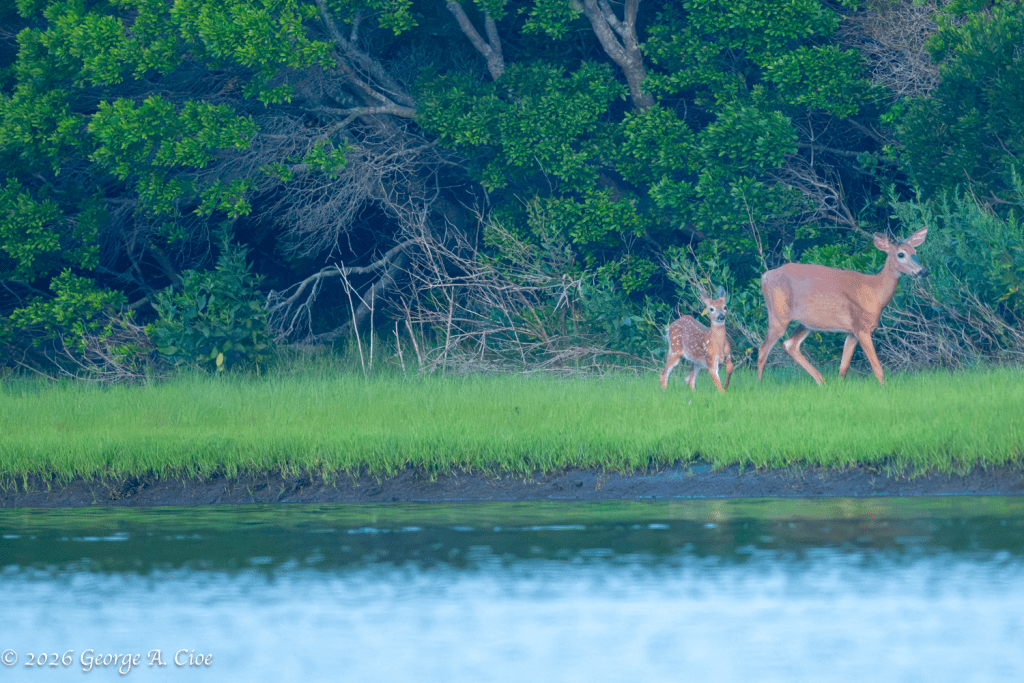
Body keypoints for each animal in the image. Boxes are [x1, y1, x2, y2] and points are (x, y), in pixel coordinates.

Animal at [756, 227, 929, 386]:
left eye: (915, 251)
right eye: (901, 254)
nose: (923, 271)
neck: (875, 292)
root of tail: (765, 276)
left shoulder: (851, 331)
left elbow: (843, 367)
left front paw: (839, 387)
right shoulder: (862, 327)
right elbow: (877, 367)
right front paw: (884, 389)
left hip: (806, 323)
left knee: (790, 344)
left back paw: (822, 381)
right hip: (778, 315)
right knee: (763, 350)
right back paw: (760, 385)